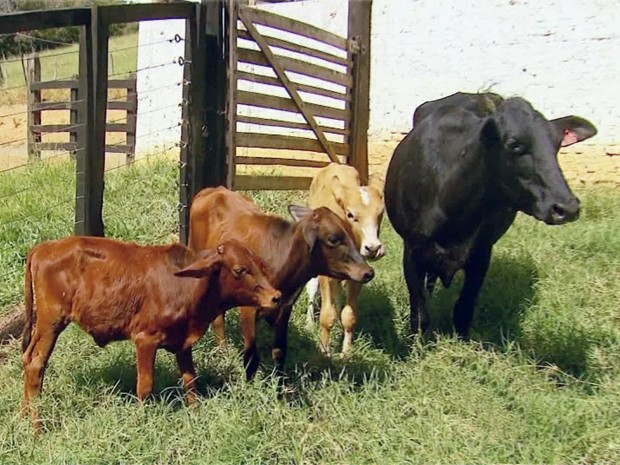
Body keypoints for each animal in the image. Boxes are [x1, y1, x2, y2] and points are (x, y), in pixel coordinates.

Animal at [20, 236, 280, 432]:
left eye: (260, 264)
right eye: (239, 269)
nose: (275, 297)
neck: (188, 285)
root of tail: (45, 247)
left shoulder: (183, 342)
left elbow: (190, 380)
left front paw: (195, 414)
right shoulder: (145, 339)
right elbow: (144, 386)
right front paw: (140, 421)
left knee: (26, 358)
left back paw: (23, 416)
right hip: (51, 321)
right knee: (35, 364)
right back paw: (38, 428)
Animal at [304, 162, 386, 352]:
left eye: (380, 213)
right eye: (350, 214)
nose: (373, 248)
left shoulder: (360, 272)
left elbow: (349, 316)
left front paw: (346, 353)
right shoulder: (324, 273)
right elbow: (327, 315)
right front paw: (324, 351)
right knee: (312, 288)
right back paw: (309, 323)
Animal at [388, 91, 596, 338]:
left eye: (556, 145)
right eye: (514, 145)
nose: (567, 207)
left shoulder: (481, 253)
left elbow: (463, 311)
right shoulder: (412, 250)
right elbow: (420, 316)